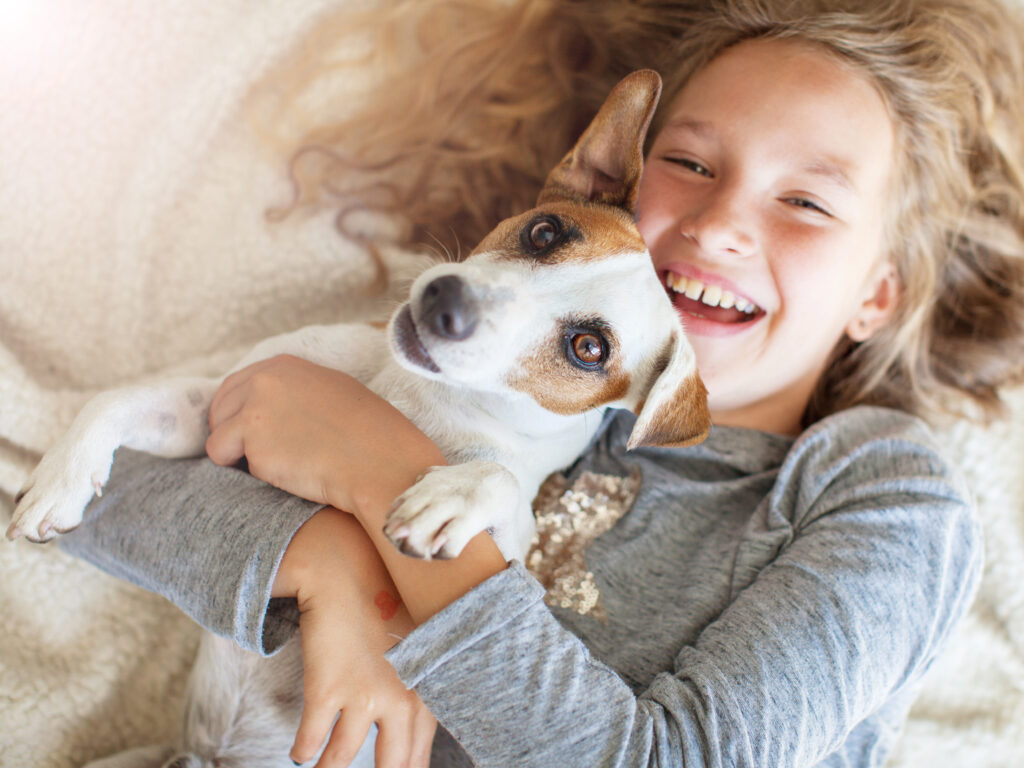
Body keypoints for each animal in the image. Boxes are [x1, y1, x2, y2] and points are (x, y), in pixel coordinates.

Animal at [4, 69, 708, 765]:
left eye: (588, 349)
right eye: (545, 232)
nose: (447, 299)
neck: (416, 393)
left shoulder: (508, 557)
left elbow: (500, 485)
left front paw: (449, 500)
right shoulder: (221, 410)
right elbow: (114, 399)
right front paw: (56, 484)